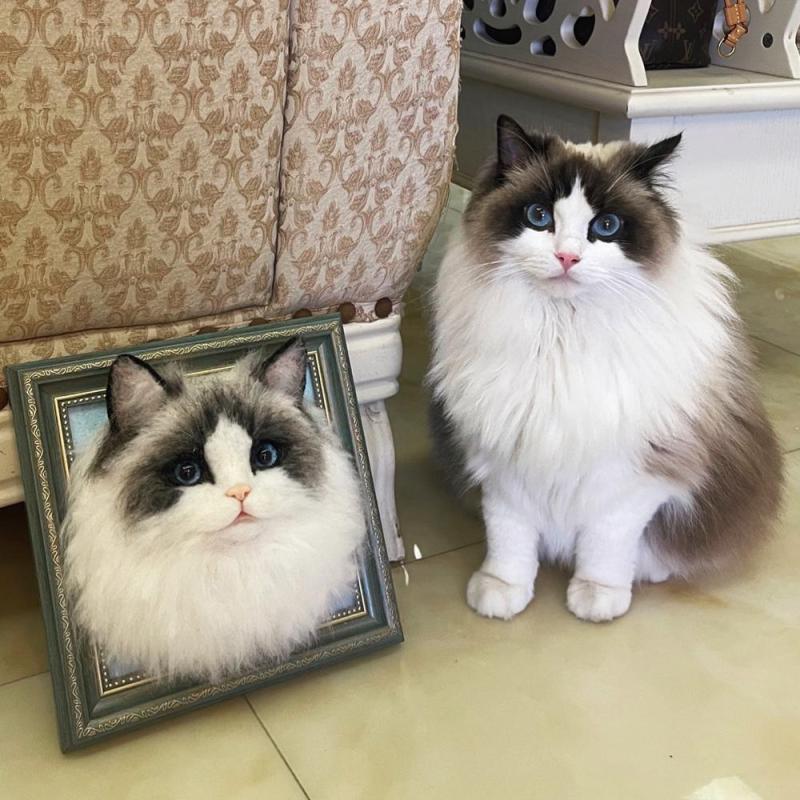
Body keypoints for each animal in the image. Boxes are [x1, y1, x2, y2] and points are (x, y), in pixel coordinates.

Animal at [429, 115, 783, 623]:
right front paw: (502, 592)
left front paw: (597, 597)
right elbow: (510, 542)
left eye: (607, 226)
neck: (561, 337)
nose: (567, 257)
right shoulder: (505, 464)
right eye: (539, 217)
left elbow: (605, 546)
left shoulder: (632, 479)